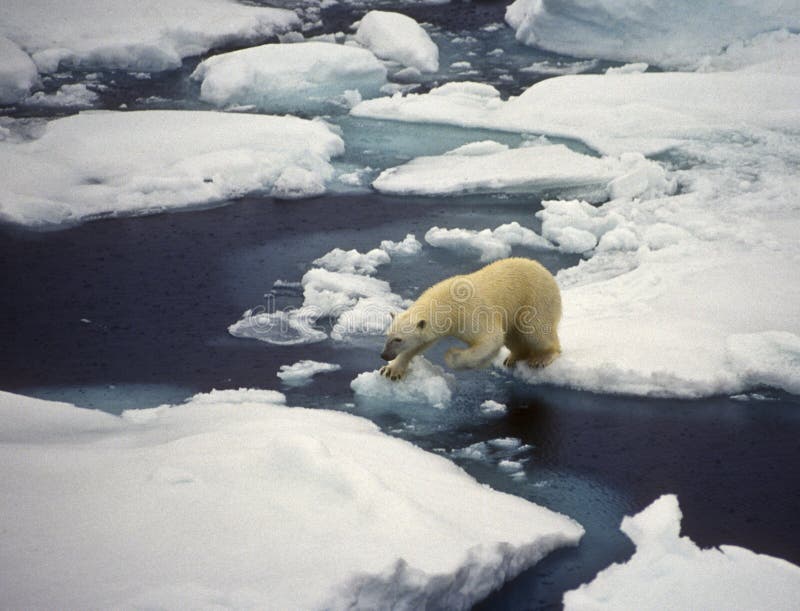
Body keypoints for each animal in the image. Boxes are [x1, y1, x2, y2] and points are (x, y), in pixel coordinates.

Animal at [382, 258, 564, 382]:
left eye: (398, 339)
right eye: (388, 336)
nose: (384, 355)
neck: (449, 302)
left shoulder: (473, 313)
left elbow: (491, 339)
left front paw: (453, 355)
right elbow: (421, 343)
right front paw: (391, 370)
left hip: (535, 299)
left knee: (536, 331)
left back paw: (541, 358)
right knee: (514, 336)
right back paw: (512, 358)